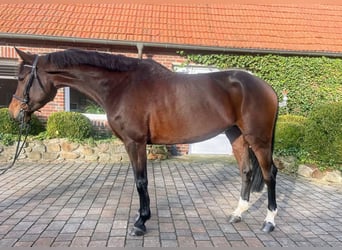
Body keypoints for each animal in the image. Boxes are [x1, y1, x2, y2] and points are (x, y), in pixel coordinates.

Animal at [9, 47, 280, 235]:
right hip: (236, 135)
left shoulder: (135, 142)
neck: (121, 85)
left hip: (259, 138)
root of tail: (267, 88)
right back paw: (237, 214)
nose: (13, 113)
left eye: (22, 78)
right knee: (247, 171)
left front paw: (140, 222)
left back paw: (269, 222)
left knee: (269, 174)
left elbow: (141, 181)